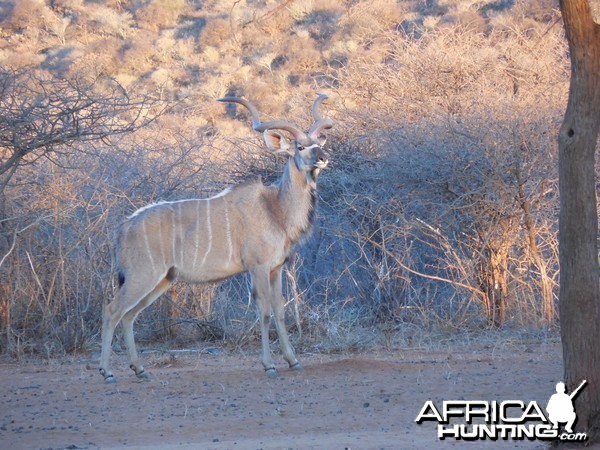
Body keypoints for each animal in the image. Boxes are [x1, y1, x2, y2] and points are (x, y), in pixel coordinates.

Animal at [98, 95, 332, 384]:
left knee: (129, 315)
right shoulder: (258, 267)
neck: (275, 208)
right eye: (300, 147)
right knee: (112, 310)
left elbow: (280, 311)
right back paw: (107, 372)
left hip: (161, 280)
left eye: (319, 143)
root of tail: (122, 228)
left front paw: (293, 360)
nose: (323, 157)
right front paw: (269, 365)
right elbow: (264, 312)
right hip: (142, 276)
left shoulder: (276, 269)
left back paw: (140, 369)